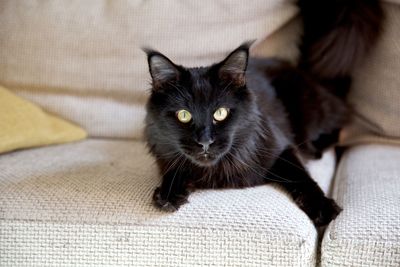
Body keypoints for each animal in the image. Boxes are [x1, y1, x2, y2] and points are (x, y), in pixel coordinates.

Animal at [144, 43, 344, 227]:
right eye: (184, 115)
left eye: (221, 113)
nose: (205, 142)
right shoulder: (166, 155)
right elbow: (175, 169)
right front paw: (169, 193)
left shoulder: (282, 148)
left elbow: (300, 176)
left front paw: (322, 207)